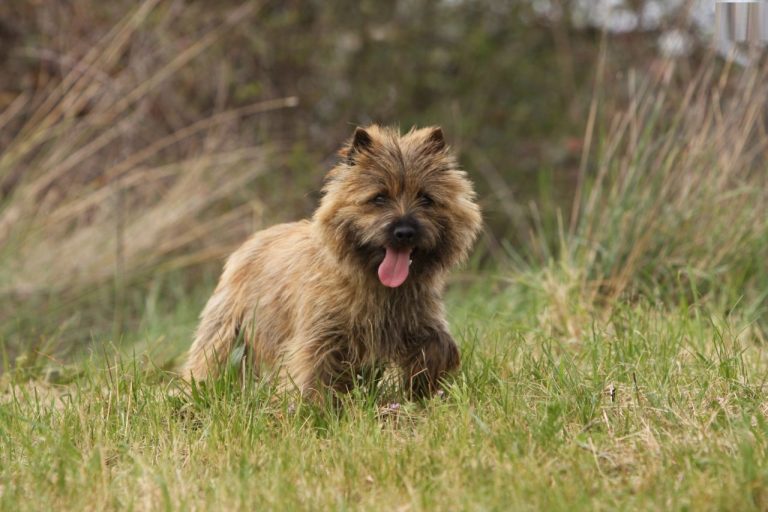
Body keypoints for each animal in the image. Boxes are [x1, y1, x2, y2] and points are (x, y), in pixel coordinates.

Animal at [183, 126, 480, 398]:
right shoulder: (320, 337)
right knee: (210, 359)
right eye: (379, 197)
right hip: (227, 328)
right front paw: (313, 410)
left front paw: (420, 391)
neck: (375, 283)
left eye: (426, 198)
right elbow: (314, 374)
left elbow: (438, 347)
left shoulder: (421, 322)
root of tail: (253, 239)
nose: (404, 232)